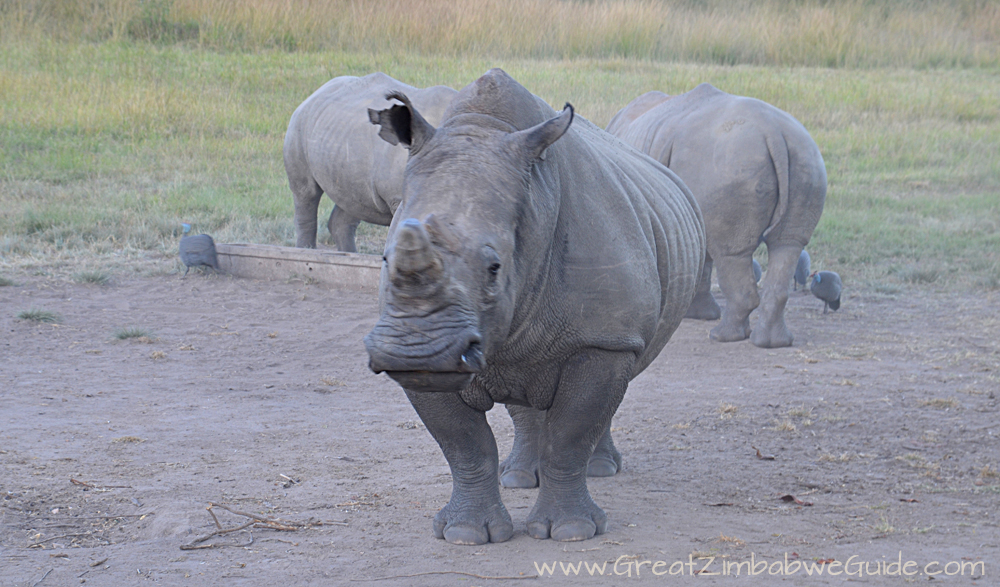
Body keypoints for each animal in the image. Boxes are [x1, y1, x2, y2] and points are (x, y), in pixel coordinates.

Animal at [362, 70, 704, 548]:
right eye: (385, 259)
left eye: (494, 268)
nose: (416, 353)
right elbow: (464, 444)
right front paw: (466, 535)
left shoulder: (604, 337)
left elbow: (571, 433)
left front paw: (572, 533)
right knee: (523, 381)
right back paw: (519, 478)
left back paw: (600, 471)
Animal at [604, 83, 824, 350]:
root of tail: (775, 133)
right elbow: (702, 259)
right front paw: (700, 314)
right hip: (805, 158)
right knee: (787, 244)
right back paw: (772, 343)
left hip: (728, 164)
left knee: (732, 252)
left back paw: (721, 337)